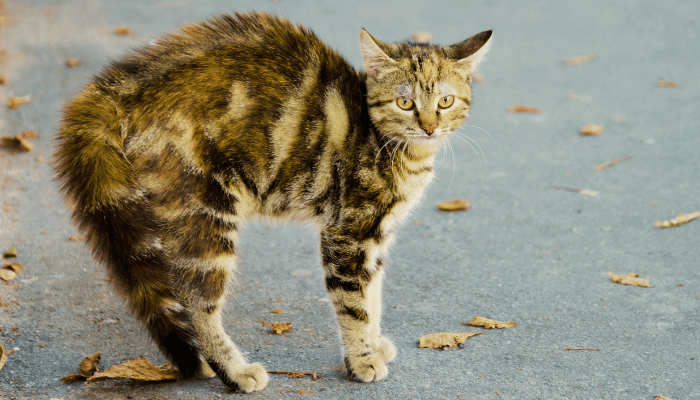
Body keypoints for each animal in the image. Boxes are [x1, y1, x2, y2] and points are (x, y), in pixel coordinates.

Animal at [53, 11, 492, 394]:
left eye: (446, 102)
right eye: (405, 103)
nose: (429, 127)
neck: (395, 149)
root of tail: (120, 87)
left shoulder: (377, 237)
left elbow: (374, 295)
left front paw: (374, 343)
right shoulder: (349, 233)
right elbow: (354, 304)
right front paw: (362, 359)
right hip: (207, 217)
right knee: (196, 303)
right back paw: (234, 372)